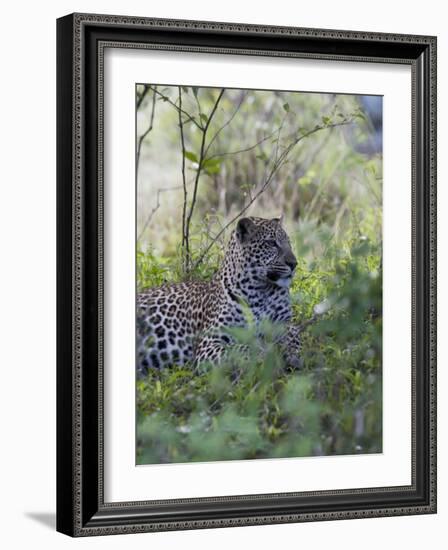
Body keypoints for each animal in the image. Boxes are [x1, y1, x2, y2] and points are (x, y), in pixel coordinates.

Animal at [136, 218, 302, 378]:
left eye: (289, 243)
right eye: (271, 243)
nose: (294, 263)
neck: (261, 291)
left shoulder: (283, 321)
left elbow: (294, 333)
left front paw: (293, 354)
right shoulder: (209, 343)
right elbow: (240, 349)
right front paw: (266, 358)